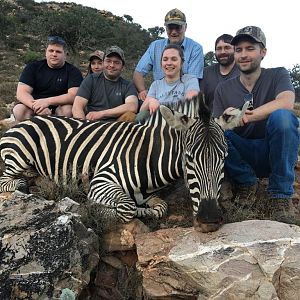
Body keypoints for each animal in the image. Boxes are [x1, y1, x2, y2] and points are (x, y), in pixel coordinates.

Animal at [0, 93, 248, 232]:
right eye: (189, 158)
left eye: (224, 158)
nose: (210, 220)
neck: (148, 155)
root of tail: (26, 121)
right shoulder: (101, 180)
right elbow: (126, 208)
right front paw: (96, 208)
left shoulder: (150, 194)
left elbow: (159, 208)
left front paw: (146, 210)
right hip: (20, 155)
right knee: (7, 180)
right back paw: (26, 183)